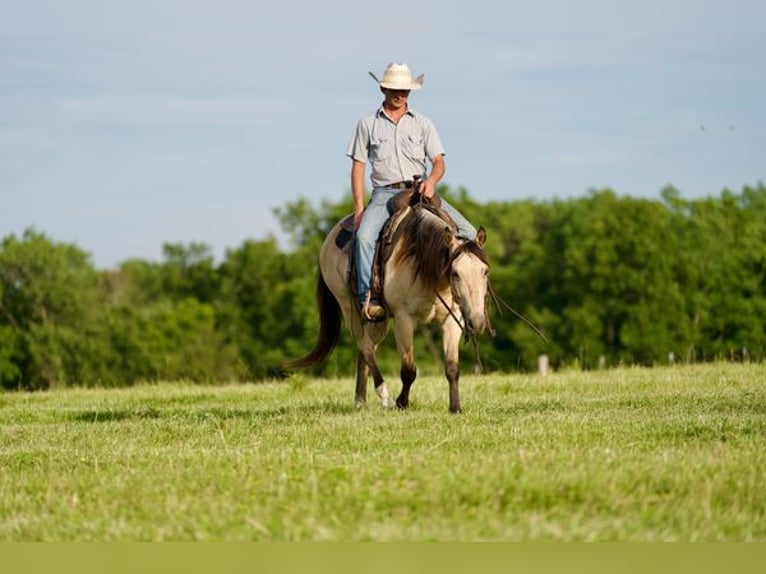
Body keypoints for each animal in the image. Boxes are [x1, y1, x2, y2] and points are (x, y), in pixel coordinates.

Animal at [288, 195, 492, 414]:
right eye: (455, 273)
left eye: (485, 271)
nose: (477, 322)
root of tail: (328, 240)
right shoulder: (403, 320)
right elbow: (409, 370)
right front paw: (402, 403)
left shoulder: (453, 320)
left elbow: (452, 368)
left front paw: (455, 408)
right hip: (348, 306)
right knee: (365, 346)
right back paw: (385, 396)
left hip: (377, 320)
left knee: (366, 350)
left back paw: (360, 400)